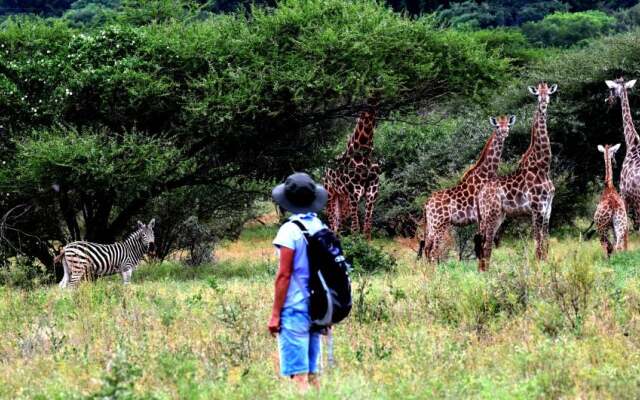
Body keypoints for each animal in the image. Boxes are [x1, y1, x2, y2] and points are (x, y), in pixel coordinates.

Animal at [324, 101, 380, 239]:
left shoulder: (372, 193)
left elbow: (367, 228)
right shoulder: (354, 194)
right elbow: (355, 228)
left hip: (342, 198)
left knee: (338, 222)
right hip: (330, 194)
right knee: (332, 222)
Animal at [418, 114, 516, 262]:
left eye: (508, 125)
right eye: (497, 126)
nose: (505, 133)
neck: (486, 174)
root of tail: (426, 204)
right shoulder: (483, 216)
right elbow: (484, 244)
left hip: (431, 225)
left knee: (427, 248)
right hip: (439, 224)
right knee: (433, 251)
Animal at [476, 83, 556, 272]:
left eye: (549, 94)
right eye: (537, 95)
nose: (544, 103)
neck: (543, 166)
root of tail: (480, 194)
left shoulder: (548, 207)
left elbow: (546, 241)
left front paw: (546, 265)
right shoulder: (536, 207)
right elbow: (538, 240)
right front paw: (538, 267)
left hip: (497, 215)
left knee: (484, 240)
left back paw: (482, 269)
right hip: (490, 213)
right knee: (486, 242)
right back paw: (485, 271)